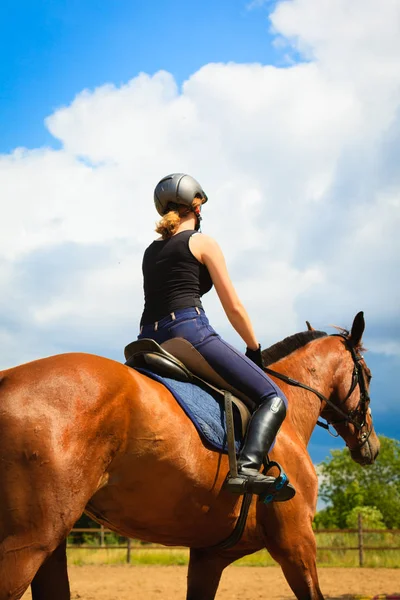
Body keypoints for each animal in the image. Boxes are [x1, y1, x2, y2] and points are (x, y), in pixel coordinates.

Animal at [0, 312, 378, 596]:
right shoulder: (297, 541)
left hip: (50, 545)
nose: (371, 447)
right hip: (28, 543)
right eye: (369, 375)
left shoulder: (210, 556)